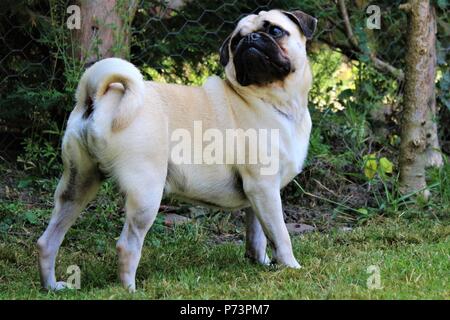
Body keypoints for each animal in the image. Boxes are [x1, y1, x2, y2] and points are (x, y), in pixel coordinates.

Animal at [37, 8, 316, 292]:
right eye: (236, 41)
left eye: (275, 31)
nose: (250, 40)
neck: (270, 99)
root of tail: (99, 98)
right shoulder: (264, 188)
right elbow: (281, 234)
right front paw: (291, 267)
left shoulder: (257, 197)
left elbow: (259, 235)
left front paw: (261, 263)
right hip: (146, 194)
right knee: (127, 245)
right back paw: (131, 290)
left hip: (78, 184)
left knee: (48, 241)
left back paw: (52, 286)